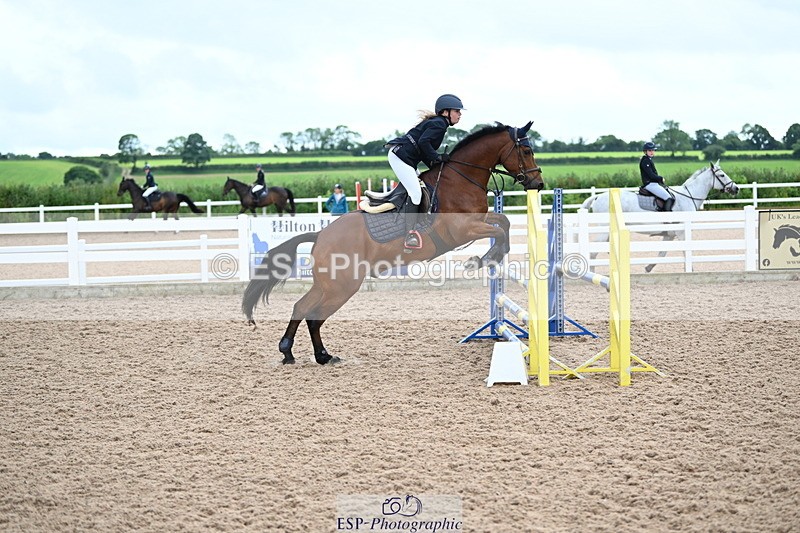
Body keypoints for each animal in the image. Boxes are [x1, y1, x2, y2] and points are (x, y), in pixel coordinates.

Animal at [242, 121, 544, 366]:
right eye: (526, 150)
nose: (537, 183)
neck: (460, 178)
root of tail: (320, 236)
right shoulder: (465, 229)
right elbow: (501, 229)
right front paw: (484, 259)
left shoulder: (479, 219)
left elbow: (503, 221)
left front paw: (490, 257)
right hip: (341, 286)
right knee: (312, 314)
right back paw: (308, 354)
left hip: (329, 284)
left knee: (303, 308)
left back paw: (305, 354)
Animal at [580, 161, 740, 272]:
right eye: (722, 175)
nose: (736, 188)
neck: (687, 196)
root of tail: (597, 197)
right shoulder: (681, 232)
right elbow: (686, 250)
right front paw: (691, 270)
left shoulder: (669, 235)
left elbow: (662, 252)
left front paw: (648, 267)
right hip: (603, 231)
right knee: (593, 252)